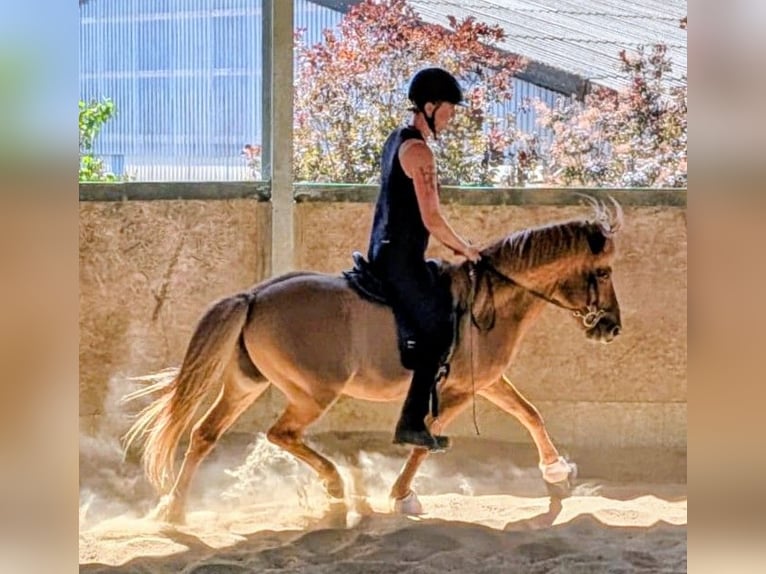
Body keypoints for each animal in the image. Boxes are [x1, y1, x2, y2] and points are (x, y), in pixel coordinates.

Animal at [122, 199, 623, 524]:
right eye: (602, 273)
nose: (611, 327)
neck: (487, 301)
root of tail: (255, 296)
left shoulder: (486, 381)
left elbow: (530, 413)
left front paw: (557, 475)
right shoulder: (457, 389)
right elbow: (426, 438)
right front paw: (402, 496)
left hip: (245, 384)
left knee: (205, 434)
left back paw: (174, 511)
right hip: (312, 393)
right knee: (280, 433)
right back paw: (334, 487)